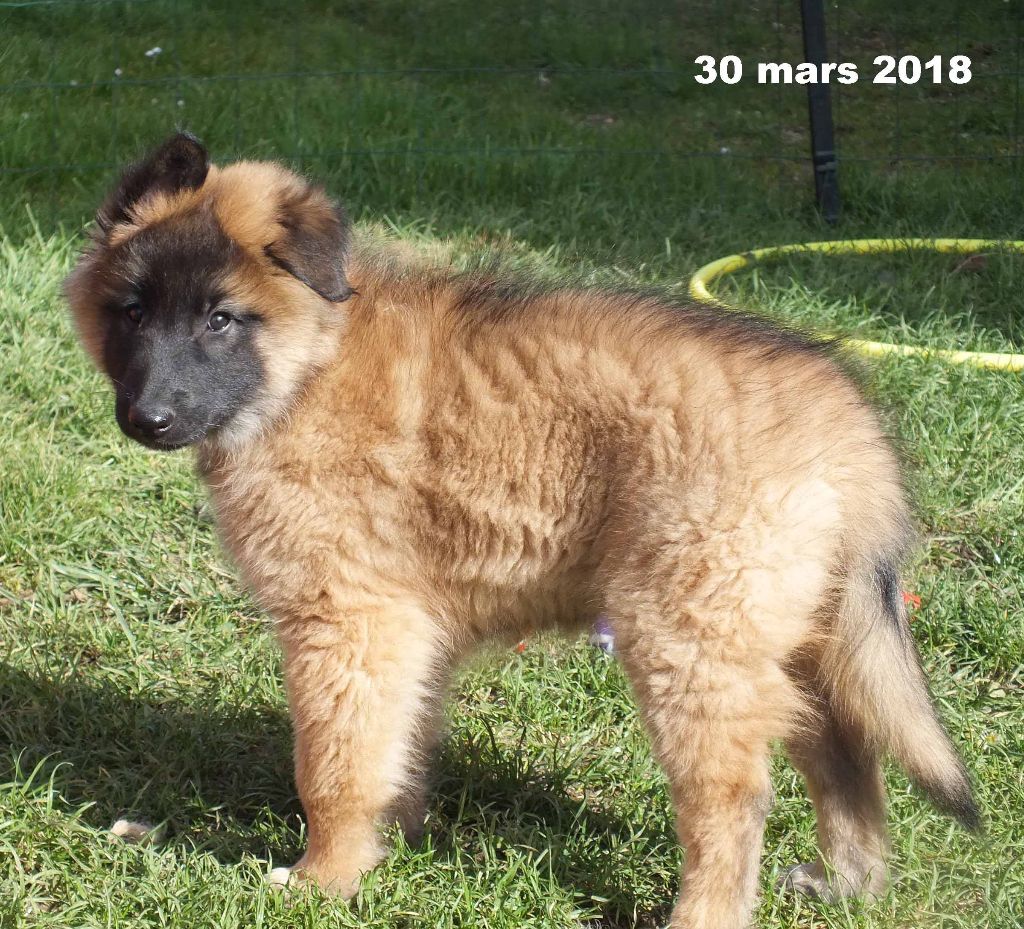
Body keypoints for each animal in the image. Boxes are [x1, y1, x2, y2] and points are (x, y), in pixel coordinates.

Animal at [64, 132, 974, 929]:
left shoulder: (348, 620)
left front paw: (326, 878)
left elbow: (335, 764)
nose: (147, 418)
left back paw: (706, 913)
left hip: (689, 632)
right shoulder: (406, 630)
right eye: (132, 312)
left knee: (735, 795)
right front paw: (394, 848)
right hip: (791, 630)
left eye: (221, 319)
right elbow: (400, 745)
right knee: (844, 749)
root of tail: (845, 419)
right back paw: (846, 883)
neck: (308, 366)